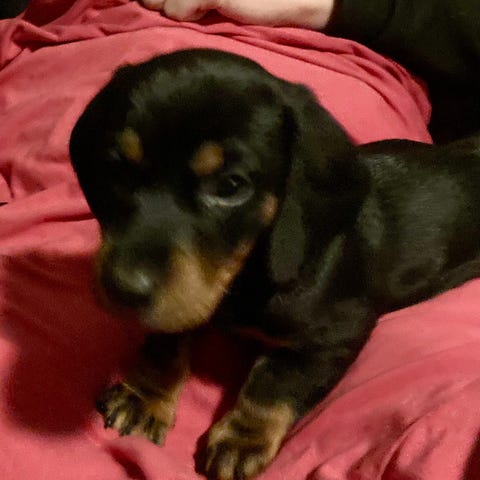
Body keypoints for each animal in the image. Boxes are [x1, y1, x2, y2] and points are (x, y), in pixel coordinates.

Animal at [69, 48, 480, 480]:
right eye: (116, 167)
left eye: (230, 186)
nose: (122, 289)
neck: (242, 275)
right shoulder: (184, 301)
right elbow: (167, 340)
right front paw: (144, 396)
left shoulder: (336, 331)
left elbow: (276, 381)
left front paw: (242, 439)